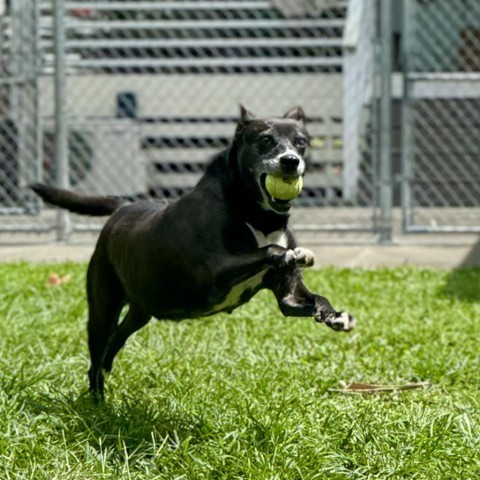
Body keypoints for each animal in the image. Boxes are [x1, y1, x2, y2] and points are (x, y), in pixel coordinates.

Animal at [33, 107, 354, 400]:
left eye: (301, 142)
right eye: (265, 140)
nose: (290, 161)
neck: (256, 214)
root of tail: (123, 207)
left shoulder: (289, 296)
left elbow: (309, 300)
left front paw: (335, 316)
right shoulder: (217, 270)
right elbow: (270, 249)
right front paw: (289, 254)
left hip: (141, 310)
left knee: (114, 342)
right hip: (103, 308)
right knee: (97, 355)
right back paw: (98, 403)